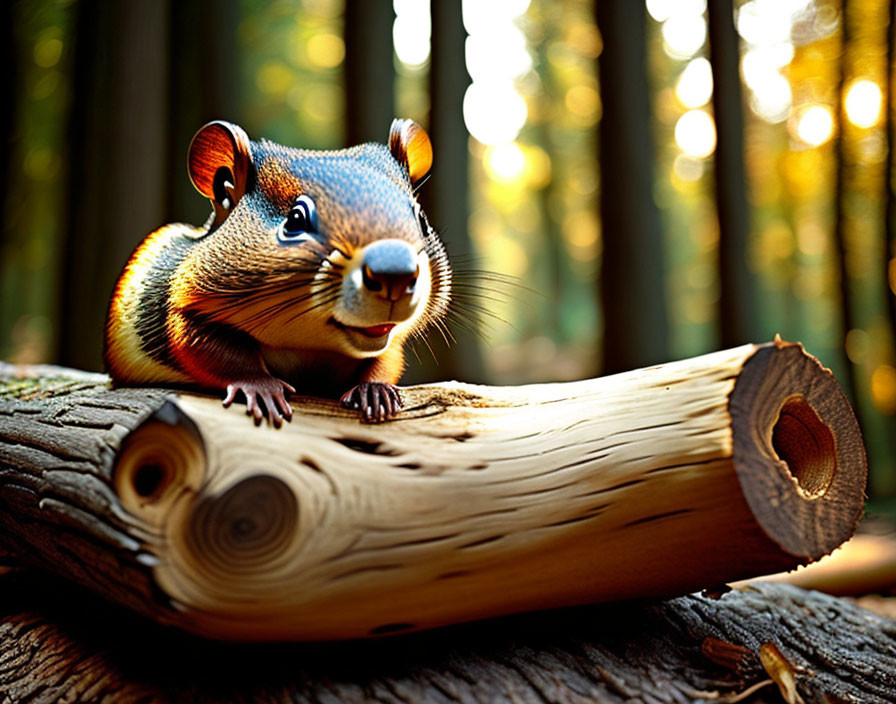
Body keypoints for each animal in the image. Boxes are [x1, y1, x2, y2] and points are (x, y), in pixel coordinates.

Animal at [105, 119, 452, 424]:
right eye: (295, 219)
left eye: (421, 219)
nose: (395, 274)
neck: (309, 346)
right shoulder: (180, 308)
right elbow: (205, 349)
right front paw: (260, 386)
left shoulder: (385, 339)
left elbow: (387, 356)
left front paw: (374, 389)